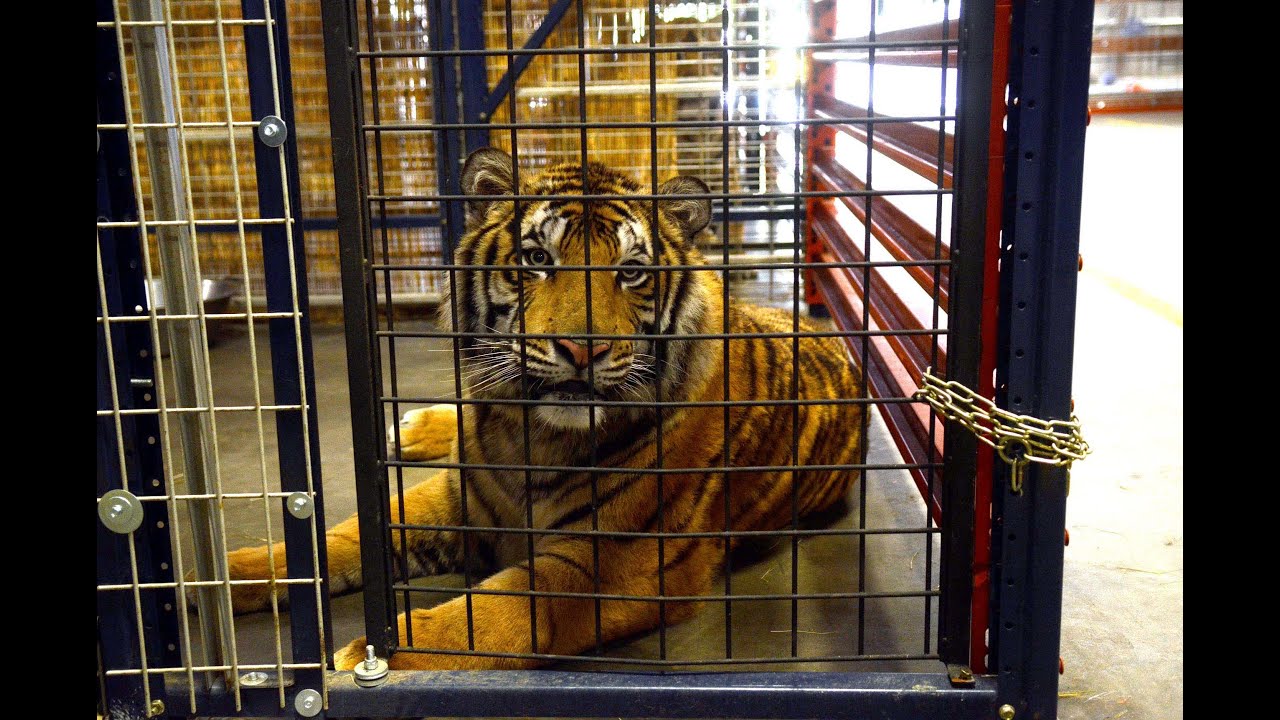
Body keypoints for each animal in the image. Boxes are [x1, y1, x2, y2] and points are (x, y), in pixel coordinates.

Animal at [219, 147, 864, 671]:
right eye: (536, 259)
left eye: (631, 272)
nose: (583, 348)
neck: (529, 433)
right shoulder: (458, 497)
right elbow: (342, 535)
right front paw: (222, 577)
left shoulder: (612, 564)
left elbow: (495, 614)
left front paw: (372, 654)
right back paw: (414, 426)